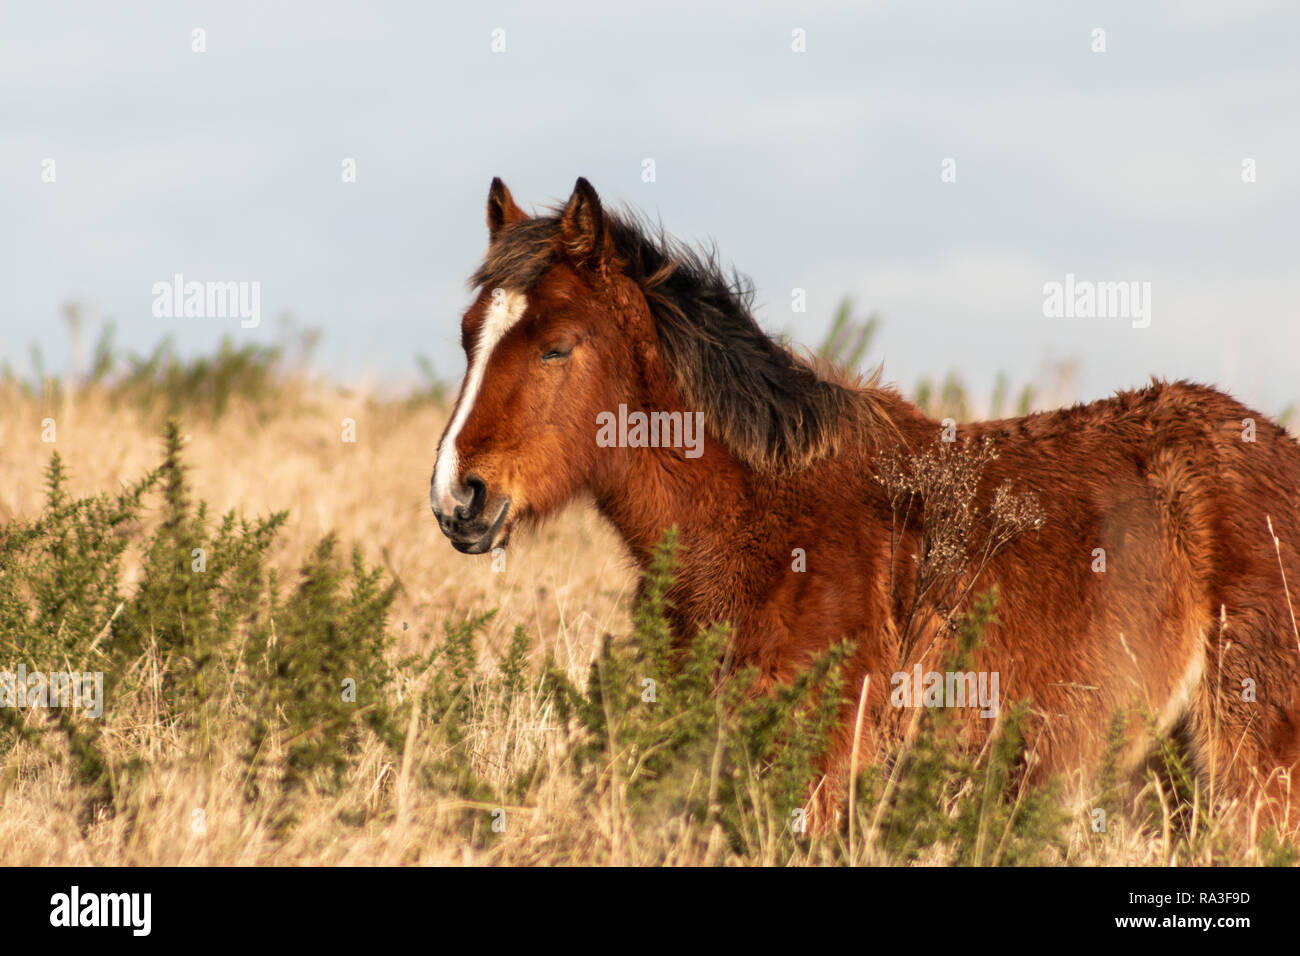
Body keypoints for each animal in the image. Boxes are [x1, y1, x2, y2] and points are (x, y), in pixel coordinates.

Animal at [430, 176, 1300, 828]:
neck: (761, 520)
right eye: (468, 334)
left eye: (558, 347)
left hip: (1253, 780)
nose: (457, 498)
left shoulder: (817, 780)